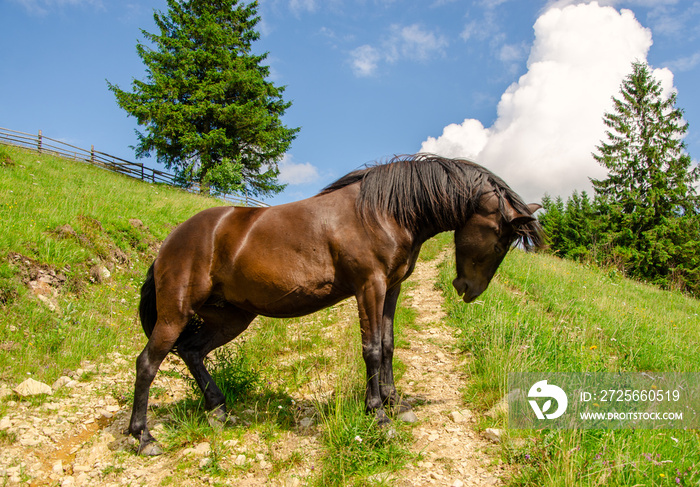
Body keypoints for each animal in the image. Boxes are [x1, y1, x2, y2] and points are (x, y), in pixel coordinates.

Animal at [130, 154, 540, 456]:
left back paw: (218, 411)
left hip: (231, 318)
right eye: (501, 239)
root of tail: (171, 241)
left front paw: (395, 404)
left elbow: (388, 345)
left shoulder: (391, 289)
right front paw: (378, 415)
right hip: (176, 313)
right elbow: (371, 349)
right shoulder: (369, 287)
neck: (383, 211)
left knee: (192, 351)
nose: (468, 290)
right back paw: (143, 437)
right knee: (148, 363)